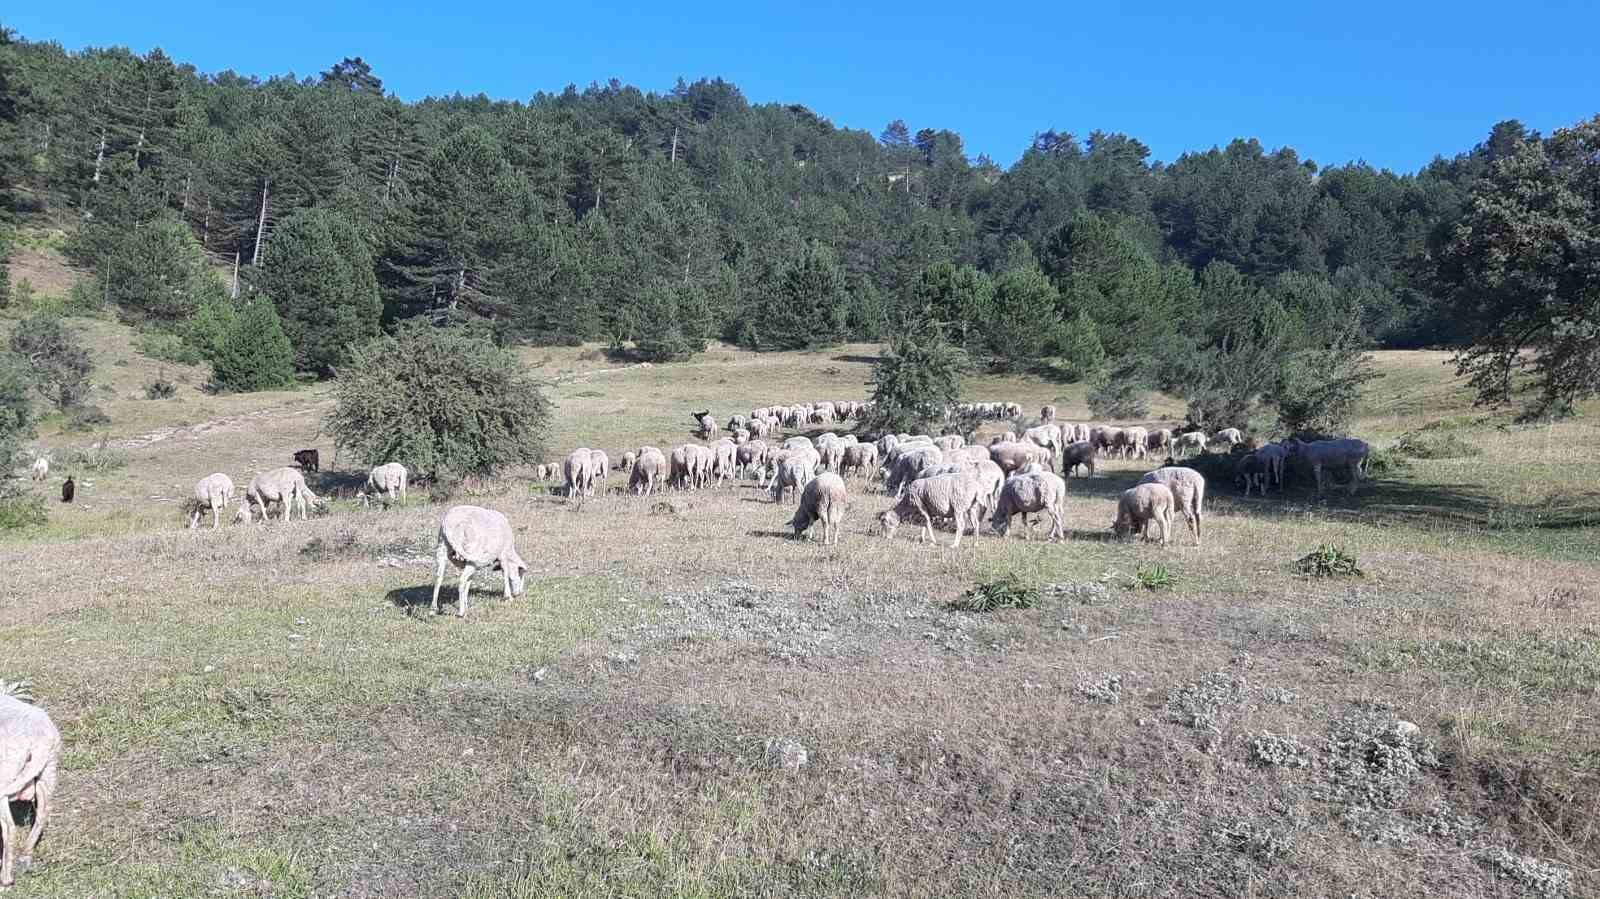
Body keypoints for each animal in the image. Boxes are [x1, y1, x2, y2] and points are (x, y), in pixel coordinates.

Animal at [0, 684, 61, 883]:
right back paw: (25, 855)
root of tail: (38, 737)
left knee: (9, 828)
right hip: (48, 769)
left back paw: (5, 879)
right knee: (44, 811)